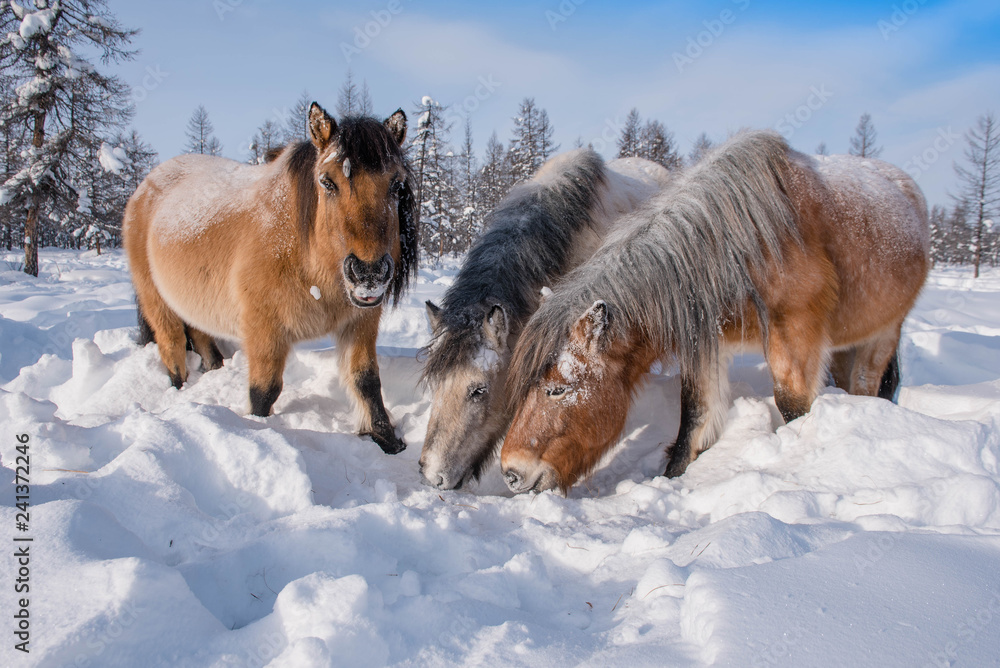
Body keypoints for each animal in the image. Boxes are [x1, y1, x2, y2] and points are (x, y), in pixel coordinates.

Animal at [123, 102, 418, 454]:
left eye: (397, 184)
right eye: (327, 182)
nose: (368, 273)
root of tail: (145, 187)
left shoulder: (360, 321)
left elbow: (367, 382)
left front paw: (388, 441)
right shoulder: (264, 330)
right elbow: (263, 393)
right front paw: (258, 432)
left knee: (204, 342)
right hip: (157, 301)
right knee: (173, 350)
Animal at [500, 130, 930, 494]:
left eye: (557, 389)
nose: (511, 473)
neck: (746, 246)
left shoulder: (796, 334)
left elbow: (793, 408)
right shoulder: (709, 341)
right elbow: (695, 418)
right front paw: (674, 478)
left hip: (883, 333)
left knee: (867, 384)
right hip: (843, 342)